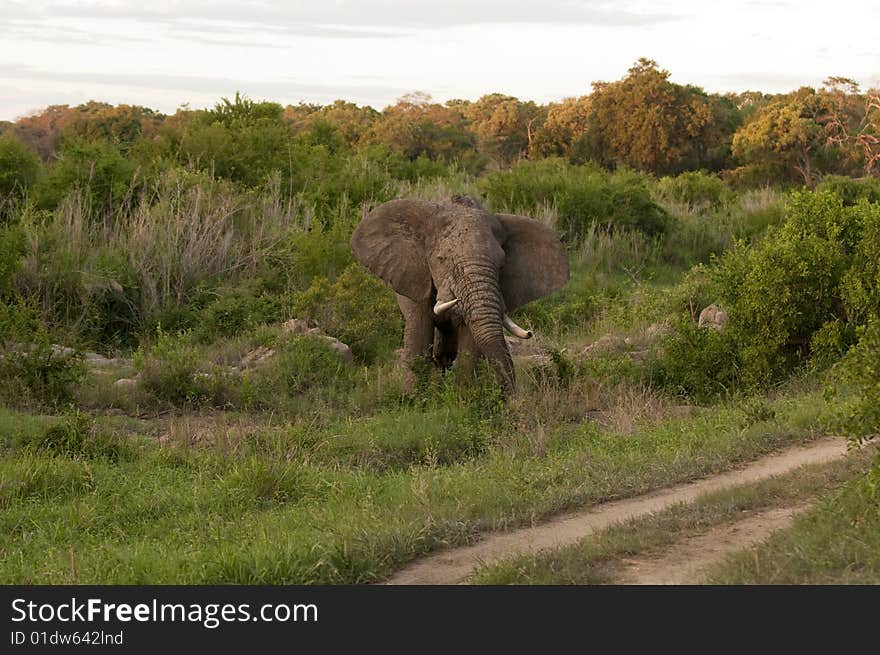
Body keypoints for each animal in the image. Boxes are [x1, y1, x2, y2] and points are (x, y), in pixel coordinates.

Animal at [350, 193, 572, 390]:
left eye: (502, 264)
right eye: (441, 259)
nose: (508, 395)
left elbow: (469, 345)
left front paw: (463, 397)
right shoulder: (416, 278)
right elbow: (419, 334)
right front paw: (414, 399)